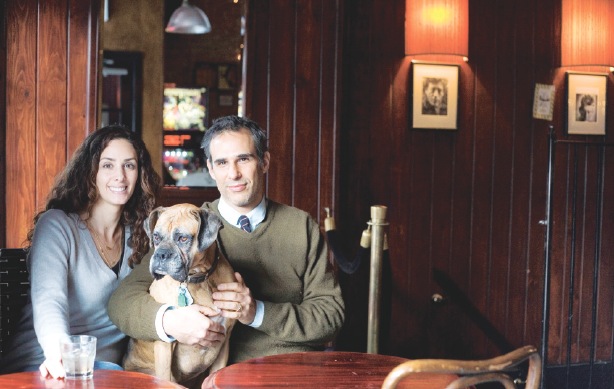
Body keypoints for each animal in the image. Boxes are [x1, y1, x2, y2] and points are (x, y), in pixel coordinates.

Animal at [125, 203, 238, 384]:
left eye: (183, 239)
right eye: (156, 237)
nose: (161, 254)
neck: (200, 279)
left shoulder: (223, 343)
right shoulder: (164, 348)